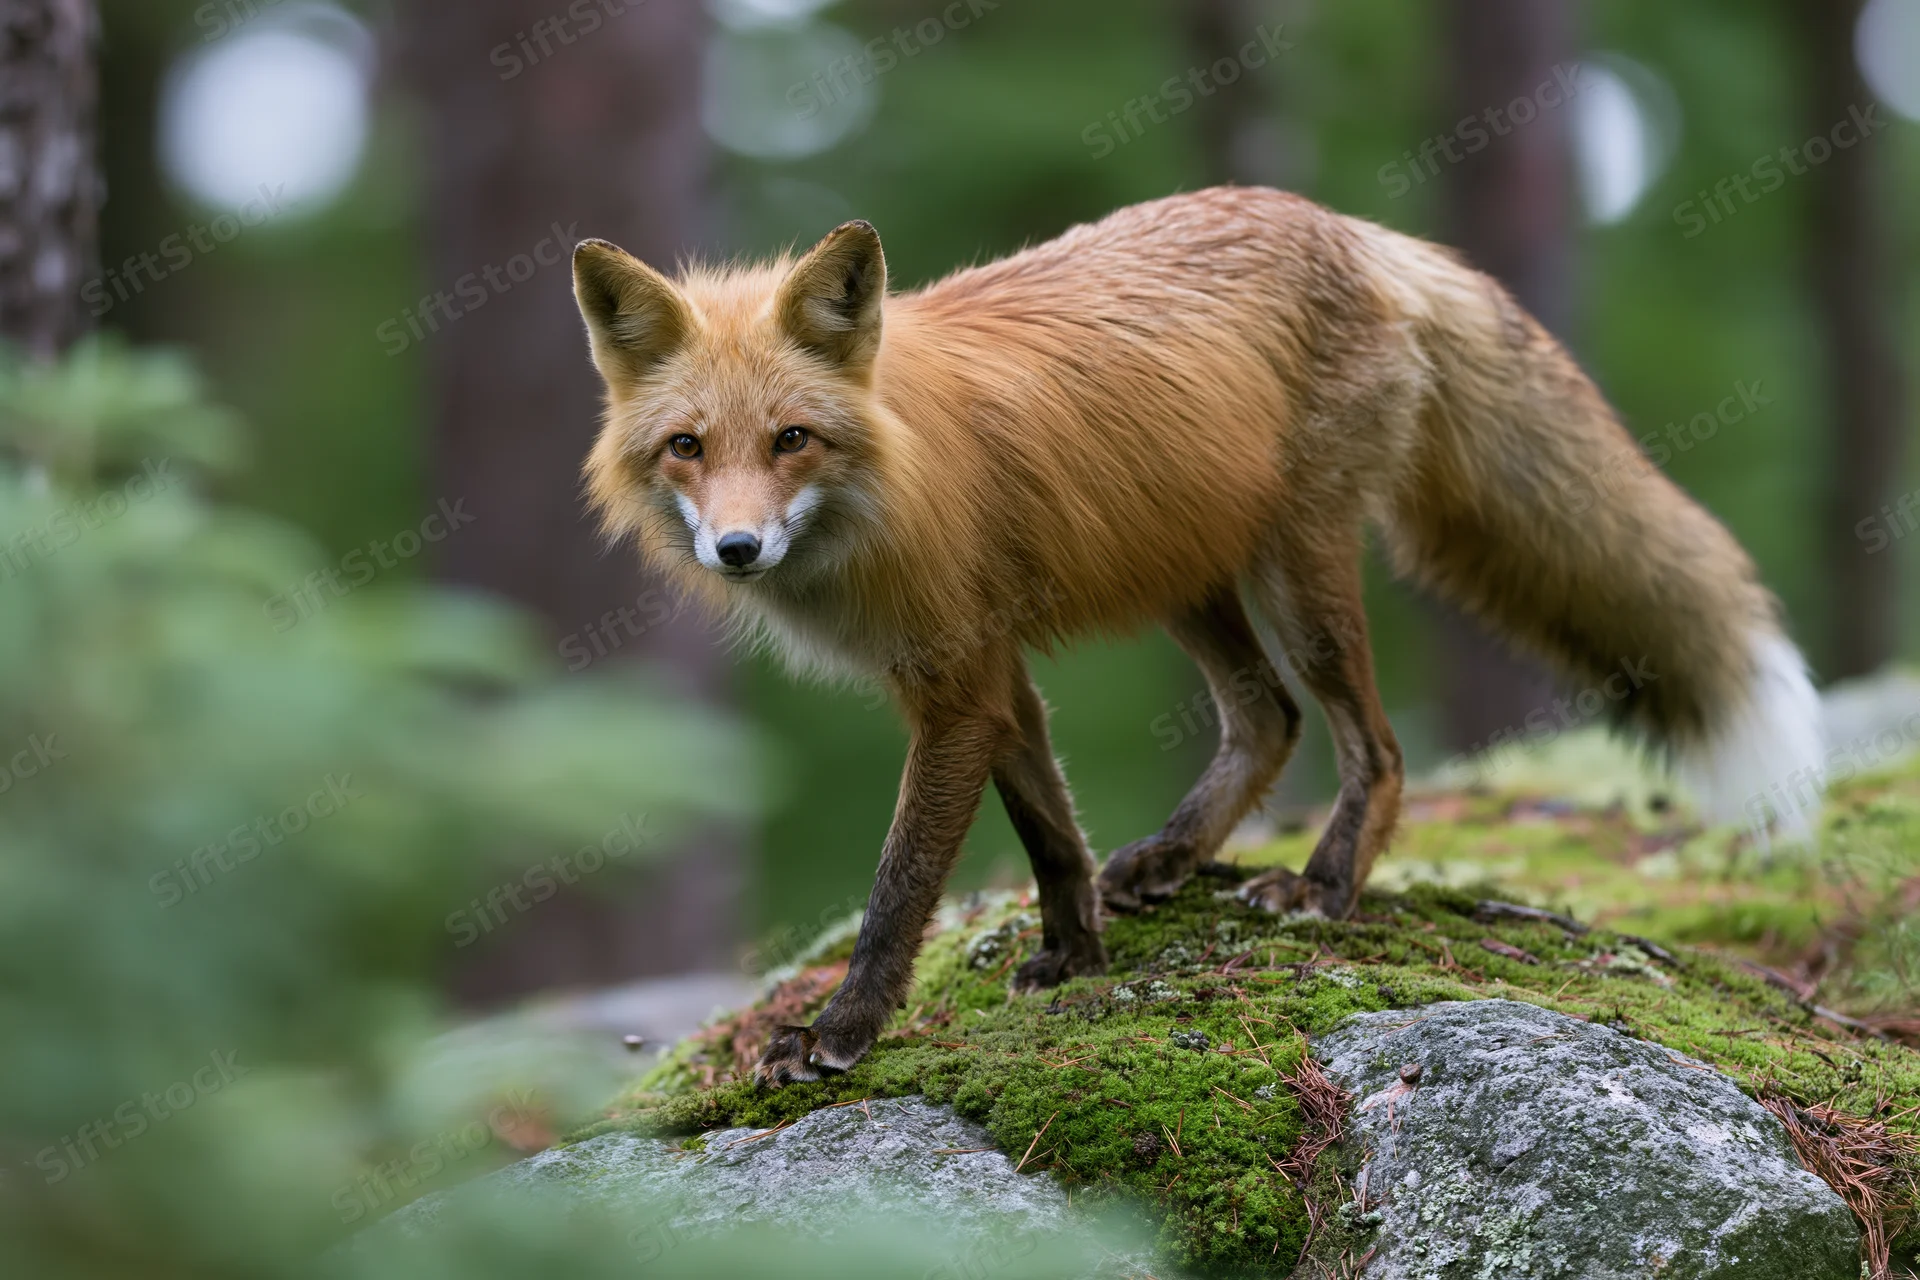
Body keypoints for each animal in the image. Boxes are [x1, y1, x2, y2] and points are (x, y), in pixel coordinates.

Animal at [569, 186, 1823, 1087]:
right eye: (687, 446)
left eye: (793, 438)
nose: (737, 548)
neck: (885, 483)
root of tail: (1346, 226)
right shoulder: (991, 673)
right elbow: (1052, 835)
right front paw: (1077, 956)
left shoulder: (958, 681)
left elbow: (900, 885)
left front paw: (841, 1030)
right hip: (1182, 569)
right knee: (1266, 718)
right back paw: (1174, 857)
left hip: (1297, 576)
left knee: (1369, 743)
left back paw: (1322, 887)